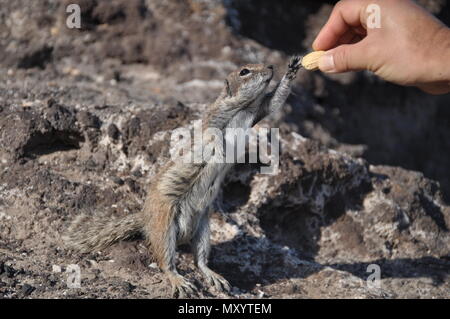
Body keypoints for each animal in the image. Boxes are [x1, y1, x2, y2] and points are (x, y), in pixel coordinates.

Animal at [63, 55, 300, 298]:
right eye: (244, 71)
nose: (271, 67)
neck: (242, 108)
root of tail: (145, 218)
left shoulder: (258, 112)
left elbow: (274, 102)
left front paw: (291, 71)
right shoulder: (212, 121)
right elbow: (210, 139)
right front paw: (220, 152)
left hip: (204, 228)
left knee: (199, 261)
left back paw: (212, 275)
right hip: (165, 226)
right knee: (165, 262)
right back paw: (178, 281)